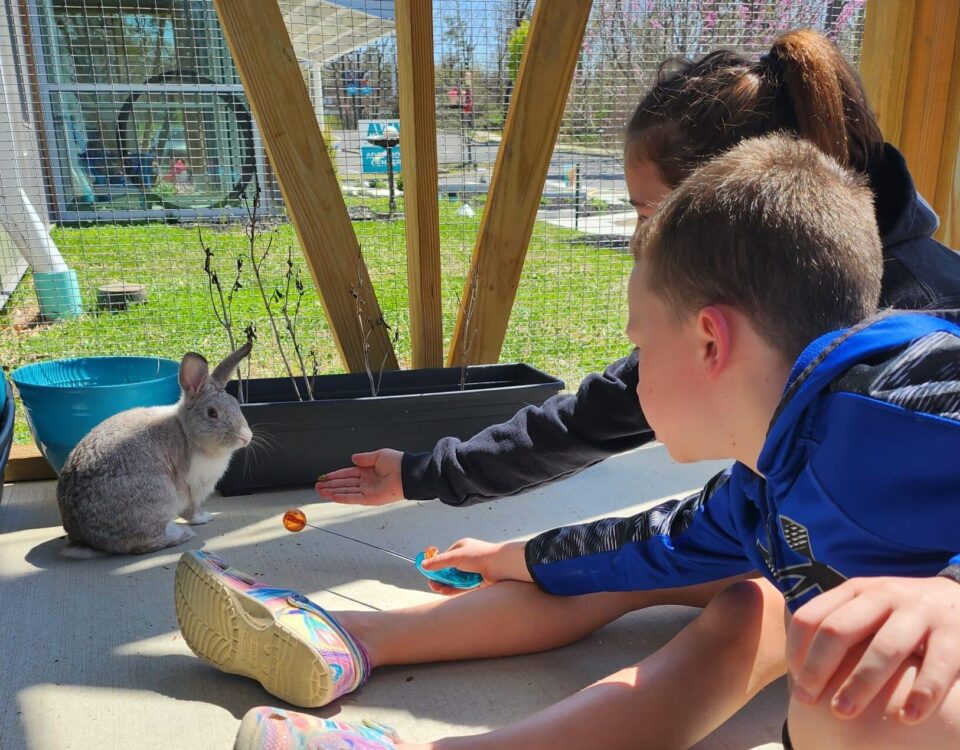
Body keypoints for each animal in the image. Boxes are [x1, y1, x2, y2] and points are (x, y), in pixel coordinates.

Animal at [55, 346, 251, 560]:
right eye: (212, 413)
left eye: (236, 404)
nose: (246, 437)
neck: (186, 431)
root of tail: (86, 540)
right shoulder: (192, 488)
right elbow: (192, 511)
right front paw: (205, 518)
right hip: (161, 497)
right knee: (145, 544)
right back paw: (182, 534)